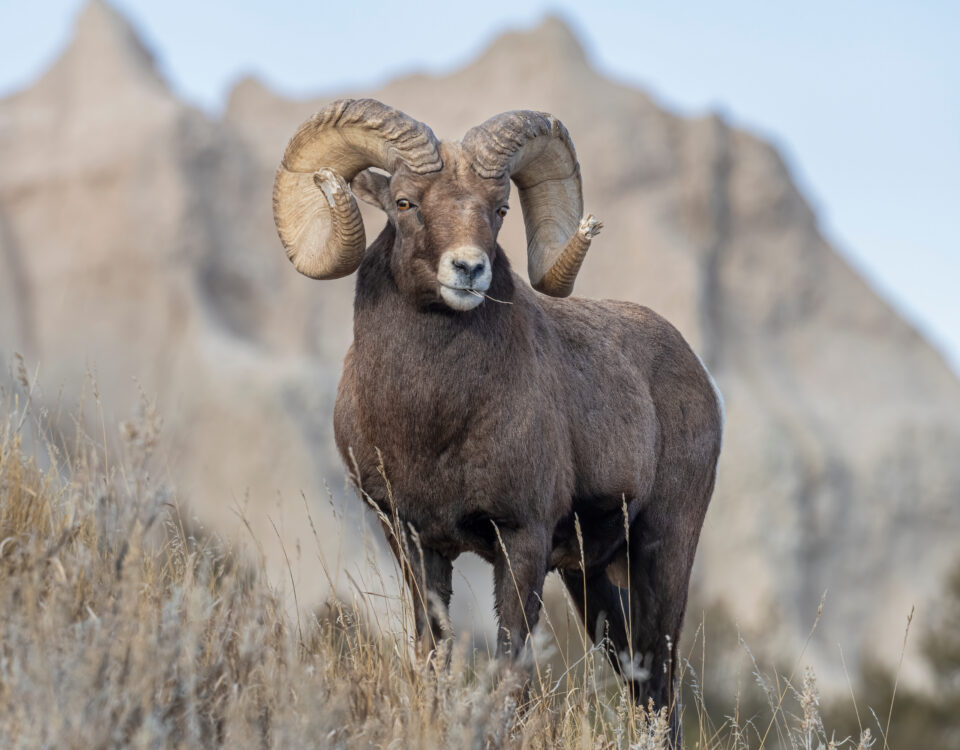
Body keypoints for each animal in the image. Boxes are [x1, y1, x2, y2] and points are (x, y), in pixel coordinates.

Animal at [272, 98, 724, 730]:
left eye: (500, 208)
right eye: (405, 202)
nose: (468, 269)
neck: (434, 424)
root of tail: (701, 379)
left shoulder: (522, 540)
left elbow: (512, 667)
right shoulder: (413, 539)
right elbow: (433, 652)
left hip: (664, 551)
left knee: (660, 685)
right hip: (593, 579)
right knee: (641, 682)